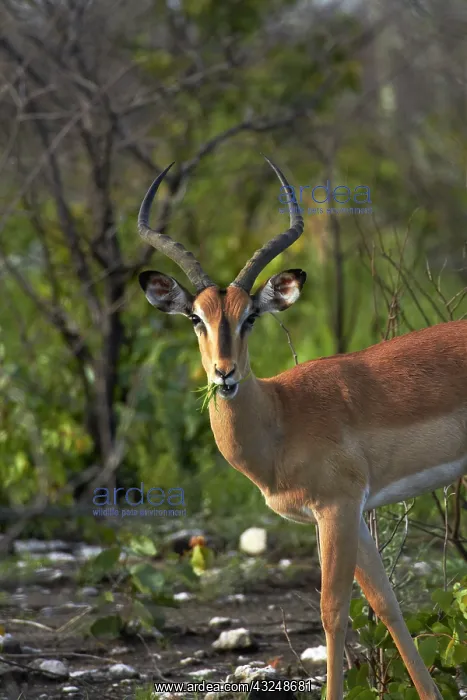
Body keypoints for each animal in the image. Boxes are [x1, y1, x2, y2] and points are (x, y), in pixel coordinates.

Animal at [137, 157, 466, 700]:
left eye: (250, 316)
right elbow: (386, 605)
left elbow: (332, 613)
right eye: (195, 317)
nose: (224, 373)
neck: (280, 417)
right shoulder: (353, 513)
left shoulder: (336, 507)